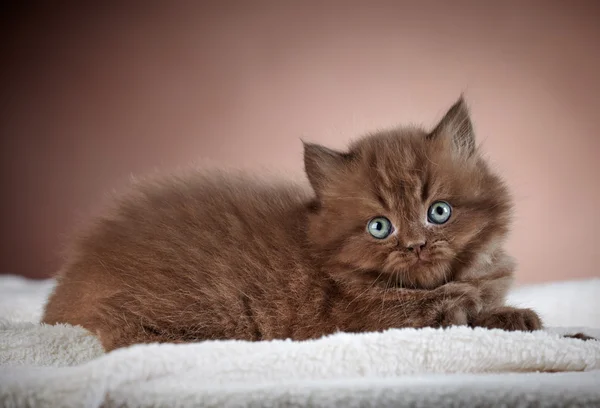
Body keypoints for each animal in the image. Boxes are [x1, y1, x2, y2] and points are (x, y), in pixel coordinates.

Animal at [42, 96, 540, 350]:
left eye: (439, 212)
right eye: (380, 227)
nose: (416, 245)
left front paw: (517, 315)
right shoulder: (359, 319)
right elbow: (446, 313)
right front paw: (484, 306)